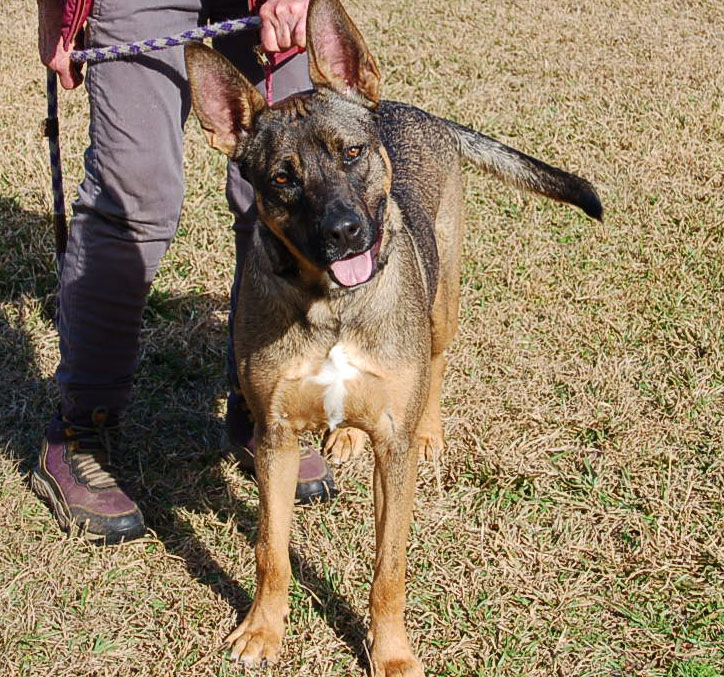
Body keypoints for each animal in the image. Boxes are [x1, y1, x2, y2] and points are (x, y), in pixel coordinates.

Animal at [185, 0, 601, 673]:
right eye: (283, 179)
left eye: (352, 152)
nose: (345, 233)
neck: (332, 307)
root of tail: (412, 109)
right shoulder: (275, 439)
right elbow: (272, 551)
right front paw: (263, 631)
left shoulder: (393, 457)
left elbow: (390, 567)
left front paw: (392, 652)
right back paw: (347, 439)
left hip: (442, 308)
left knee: (437, 364)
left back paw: (429, 431)